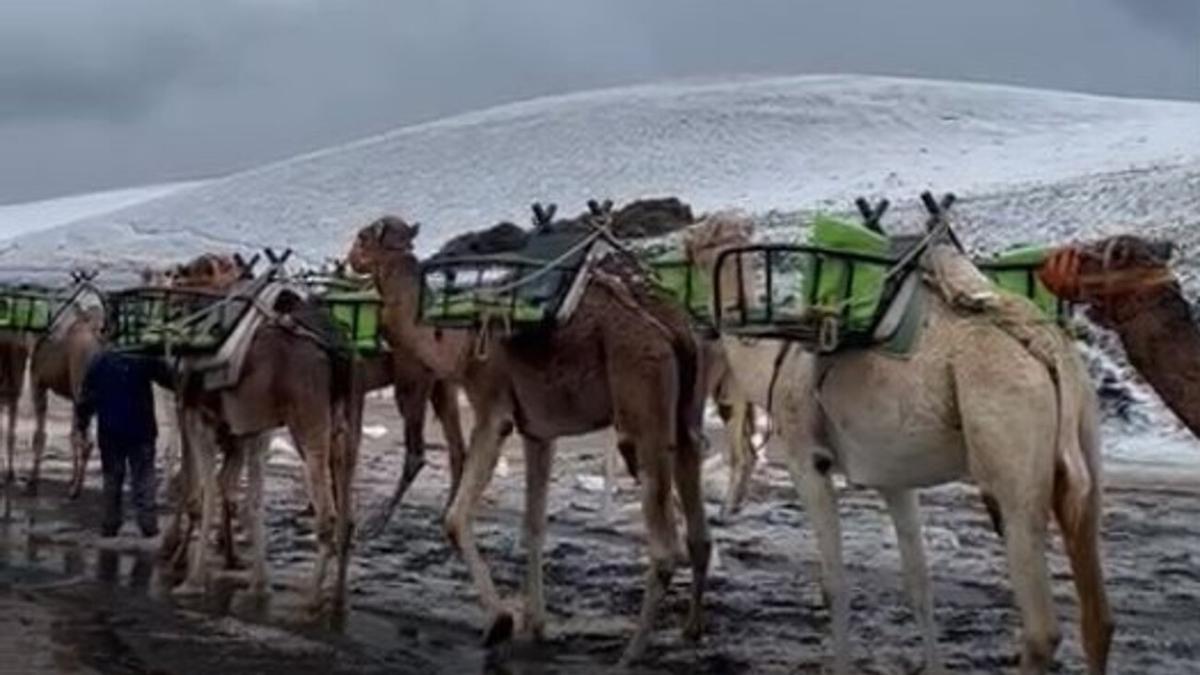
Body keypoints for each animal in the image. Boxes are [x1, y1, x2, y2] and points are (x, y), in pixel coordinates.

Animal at [348, 211, 710, 662]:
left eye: (363, 237)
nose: (348, 259)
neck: (455, 340)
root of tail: (673, 331)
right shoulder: (538, 430)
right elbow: (534, 524)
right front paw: (534, 624)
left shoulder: (492, 407)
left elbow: (455, 518)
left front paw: (500, 622)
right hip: (685, 414)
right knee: (699, 530)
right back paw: (690, 631)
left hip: (642, 406)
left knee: (664, 548)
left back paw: (629, 655)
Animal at [686, 211, 1113, 672]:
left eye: (700, 237)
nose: (683, 248)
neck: (775, 361)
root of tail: (1048, 352)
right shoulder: (895, 481)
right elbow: (919, 584)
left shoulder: (807, 461)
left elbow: (834, 584)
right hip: (1085, 445)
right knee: (1098, 618)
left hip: (1011, 453)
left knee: (1042, 630)